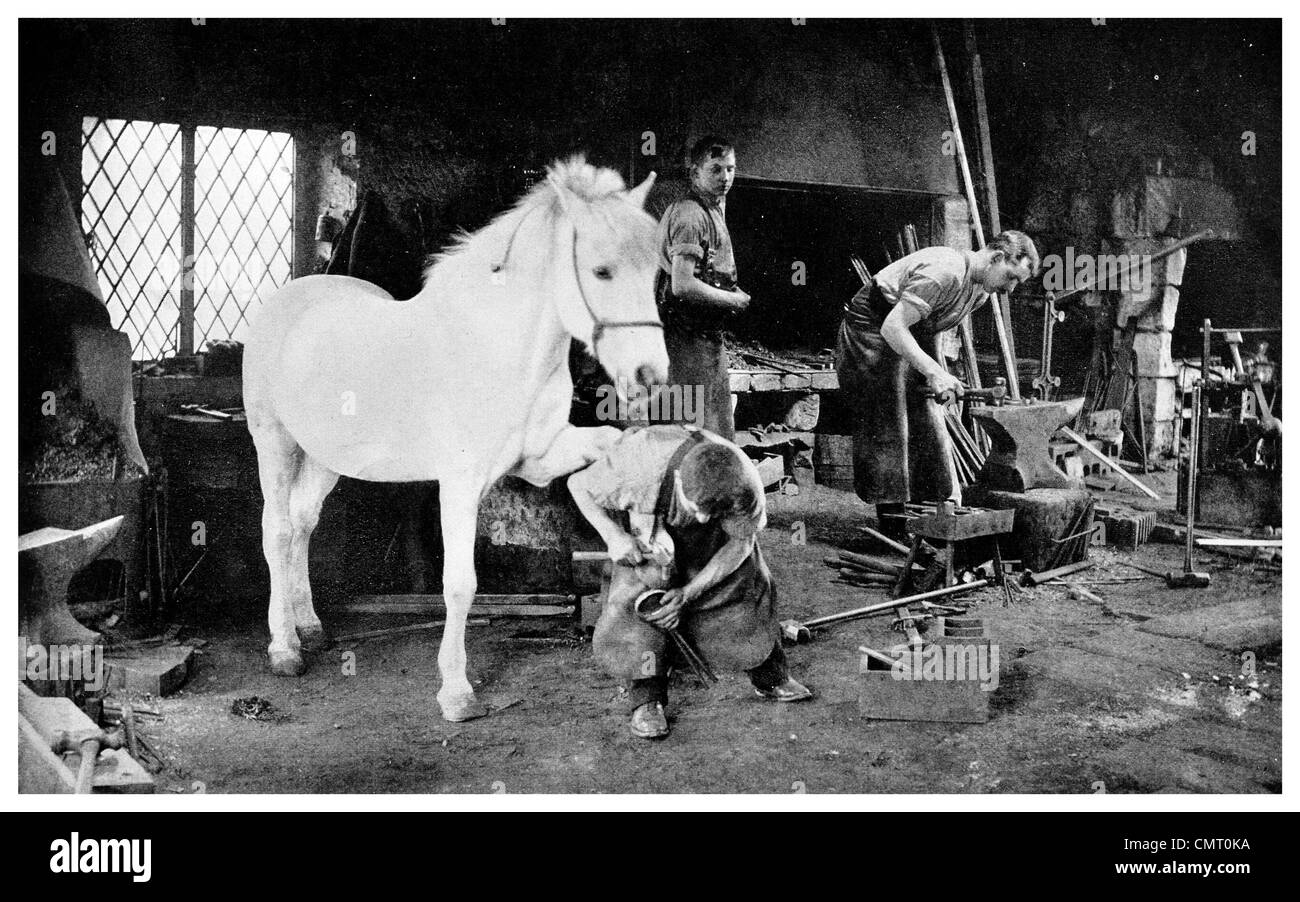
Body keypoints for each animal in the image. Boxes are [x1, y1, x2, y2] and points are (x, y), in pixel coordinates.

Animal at [244, 159, 665, 722]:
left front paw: (631, 542)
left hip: (326, 457)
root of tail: (287, 301)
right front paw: (456, 692)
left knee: (304, 524)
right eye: (601, 271)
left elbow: (607, 454)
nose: (649, 375)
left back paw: (310, 626)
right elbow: (460, 584)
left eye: (656, 271)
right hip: (275, 443)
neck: (498, 347)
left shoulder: (538, 456)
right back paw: (285, 648)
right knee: (278, 530)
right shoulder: (461, 483)